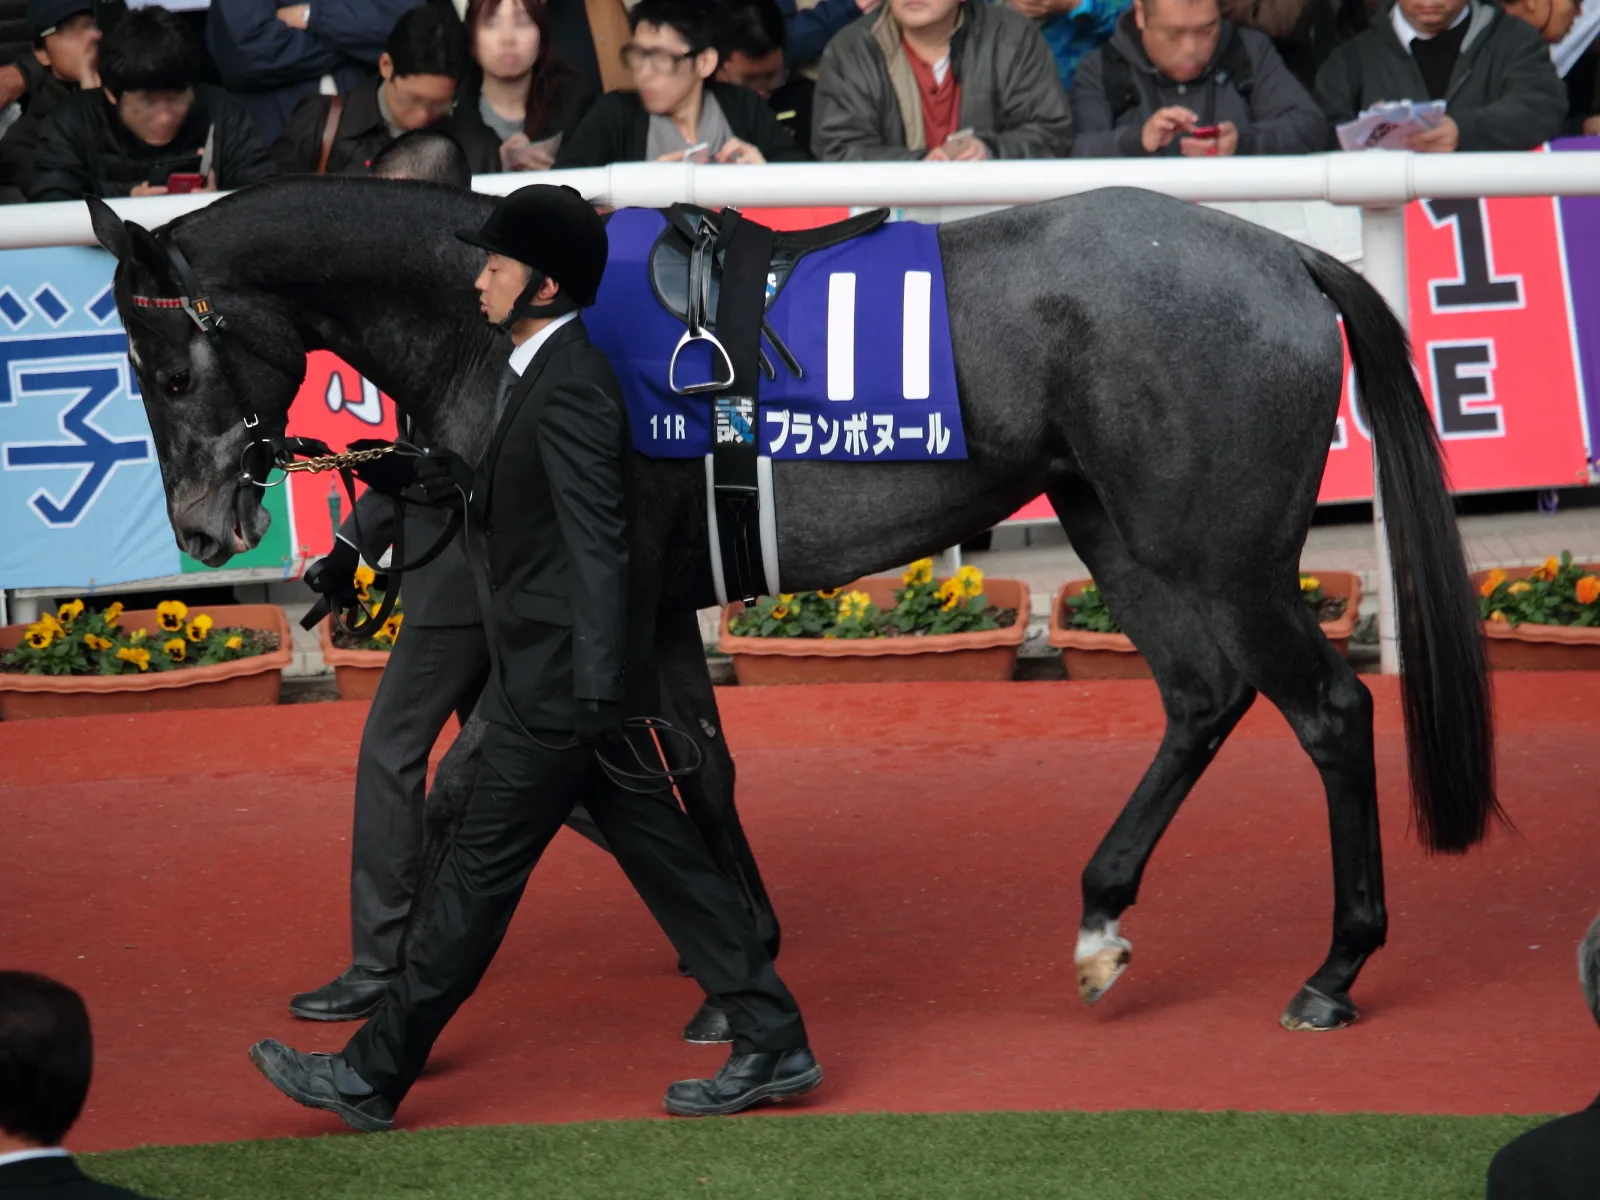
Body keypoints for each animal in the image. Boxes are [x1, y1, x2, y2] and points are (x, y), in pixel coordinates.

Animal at [85, 174, 1497, 1033]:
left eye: (165, 367)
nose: (202, 531)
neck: (518, 332)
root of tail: (1287, 251)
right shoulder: (647, 601)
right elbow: (692, 763)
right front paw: (737, 948)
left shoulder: (585, 595)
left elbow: (470, 782)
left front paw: (404, 992)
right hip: (1116, 526)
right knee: (1202, 699)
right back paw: (1101, 915)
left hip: (1218, 546)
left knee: (1325, 712)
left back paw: (1333, 968)